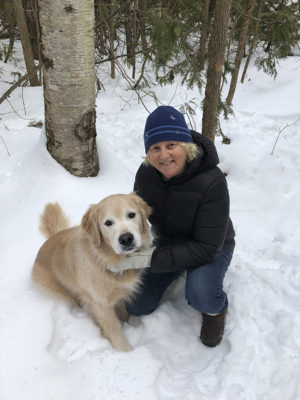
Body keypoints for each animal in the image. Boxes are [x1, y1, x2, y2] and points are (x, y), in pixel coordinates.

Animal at [32, 192, 152, 352]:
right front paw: (126, 351)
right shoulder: (101, 304)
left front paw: (128, 324)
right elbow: (114, 328)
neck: (107, 259)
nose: (126, 239)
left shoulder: (121, 293)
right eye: (108, 223)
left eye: (131, 215)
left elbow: (123, 311)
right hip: (64, 290)